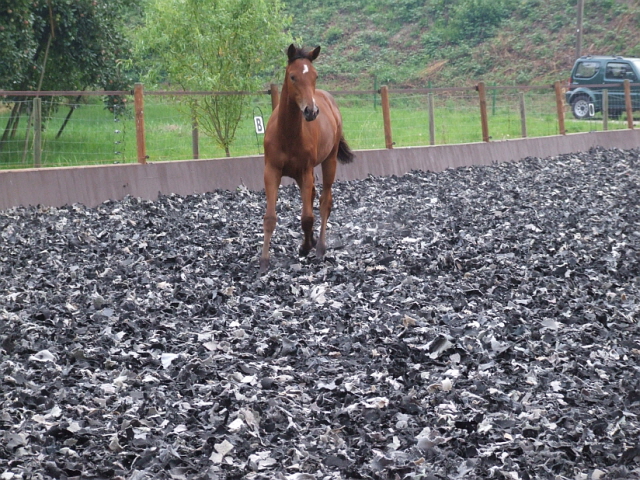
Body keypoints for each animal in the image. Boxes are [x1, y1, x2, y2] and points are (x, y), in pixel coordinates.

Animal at [260, 45, 356, 272]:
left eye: (315, 76)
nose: (311, 111)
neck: (287, 133)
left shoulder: (305, 171)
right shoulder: (272, 171)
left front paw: (304, 248)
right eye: (293, 76)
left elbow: (307, 217)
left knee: (324, 201)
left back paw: (319, 246)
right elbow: (270, 217)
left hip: (328, 162)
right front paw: (264, 261)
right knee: (313, 195)